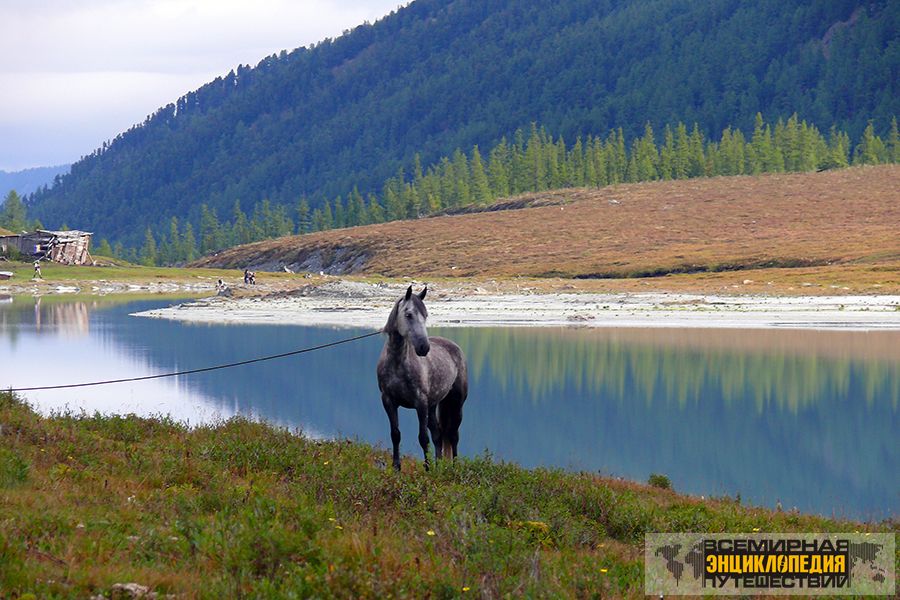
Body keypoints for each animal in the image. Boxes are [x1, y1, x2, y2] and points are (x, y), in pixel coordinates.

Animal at [376, 288, 468, 472]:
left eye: (425, 315)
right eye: (409, 314)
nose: (424, 348)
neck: (398, 364)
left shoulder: (420, 403)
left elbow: (422, 438)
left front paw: (427, 468)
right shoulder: (388, 401)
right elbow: (395, 434)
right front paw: (396, 467)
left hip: (456, 403)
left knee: (453, 435)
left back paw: (454, 467)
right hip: (433, 406)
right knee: (438, 434)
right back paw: (439, 465)